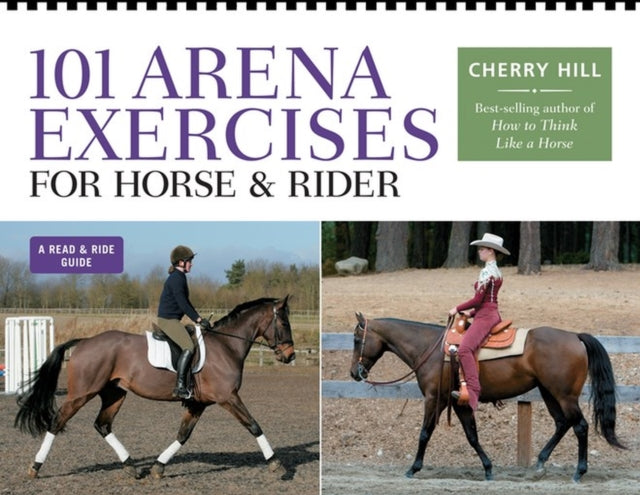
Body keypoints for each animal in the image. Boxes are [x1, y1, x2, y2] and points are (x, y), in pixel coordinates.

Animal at [14, 296, 295, 479]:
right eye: (284, 324)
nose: (290, 356)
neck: (226, 346)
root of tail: (85, 341)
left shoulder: (198, 403)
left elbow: (183, 435)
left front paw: (159, 467)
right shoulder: (228, 397)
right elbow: (254, 425)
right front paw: (276, 464)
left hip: (115, 393)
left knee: (102, 424)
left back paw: (130, 466)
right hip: (81, 393)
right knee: (57, 422)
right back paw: (35, 467)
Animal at [349, 313, 626, 482]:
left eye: (355, 339)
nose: (354, 373)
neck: (432, 349)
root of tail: (575, 336)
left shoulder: (434, 399)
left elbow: (425, 433)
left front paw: (413, 468)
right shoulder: (458, 402)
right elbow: (472, 436)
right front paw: (488, 468)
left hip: (565, 395)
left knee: (580, 426)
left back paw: (579, 472)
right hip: (549, 393)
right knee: (562, 423)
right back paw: (540, 463)